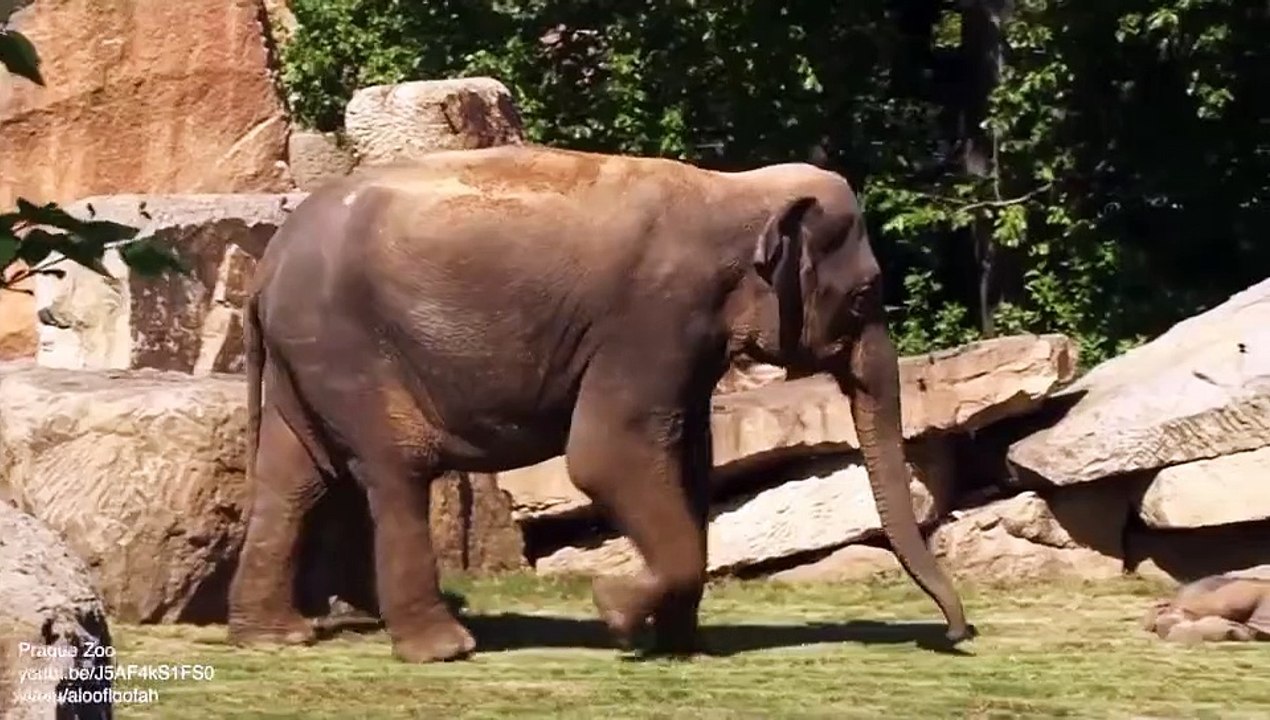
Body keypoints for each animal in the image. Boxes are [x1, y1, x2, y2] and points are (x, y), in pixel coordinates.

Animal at [225, 144, 971, 662]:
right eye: (864, 294)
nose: (959, 633)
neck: (734, 188)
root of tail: (268, 263)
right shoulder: (655, 314)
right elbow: (607, 456)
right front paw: (614, 613)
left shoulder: (686, 339)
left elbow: (687, 460)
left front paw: (675, 643)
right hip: (346, 346)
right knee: (397, 468)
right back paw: (445, 650)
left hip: (305, 356)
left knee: (293, 479)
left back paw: (276, 638)